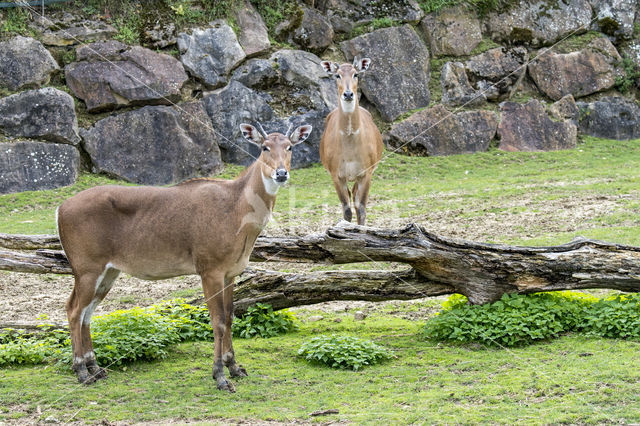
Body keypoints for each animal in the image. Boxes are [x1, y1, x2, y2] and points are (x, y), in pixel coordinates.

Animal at [56, 121, 312, 392]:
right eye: (264, 147)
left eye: (290, 146)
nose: (281, 173)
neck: (239, 213)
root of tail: (60, 210)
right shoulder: (209, 268)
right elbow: (218, 321)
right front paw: (220, 377)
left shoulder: (231, 272)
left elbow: (231, 317)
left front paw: (235, 368)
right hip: (86, 267)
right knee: (73, 309)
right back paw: (81, 371)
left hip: (109, 270)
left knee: (87, 311)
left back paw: (96, 368)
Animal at [318, 56, 380, 226]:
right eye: (337, 75)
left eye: (355, 74)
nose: (348, 94)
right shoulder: (336, 174)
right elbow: (346, 210)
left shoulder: (366, 172)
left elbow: (362, 208)